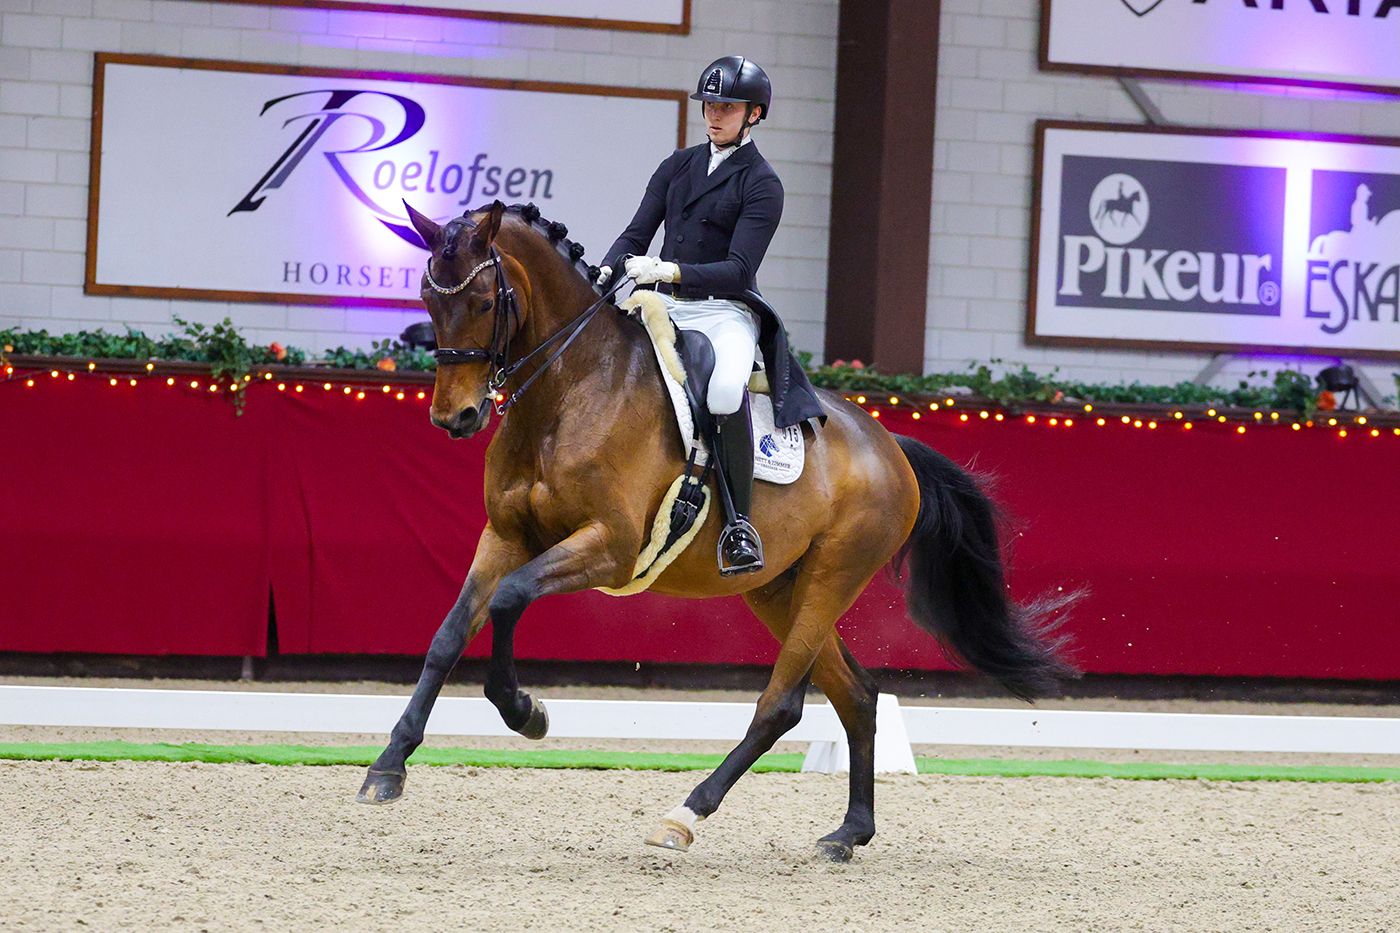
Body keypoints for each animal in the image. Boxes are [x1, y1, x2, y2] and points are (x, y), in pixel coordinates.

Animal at [356, 200, 1078, 862]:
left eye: (482, 300)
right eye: (427, 297)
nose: (455, 417)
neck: (568, 390)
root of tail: (889, 445)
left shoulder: (609, 546)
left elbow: (508, 600)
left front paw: (525, 711)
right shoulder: (505, 536)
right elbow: (449, 634)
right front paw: (388, 767)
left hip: (832, 575)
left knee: (782, 704)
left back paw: (685, 814)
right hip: (778, 588)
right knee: (858, 696)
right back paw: (848, 833)